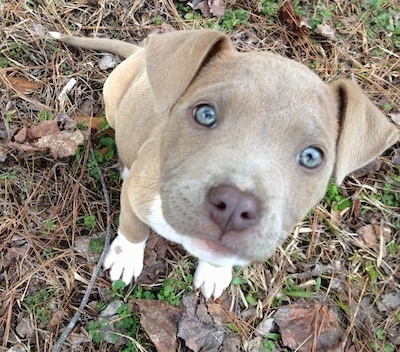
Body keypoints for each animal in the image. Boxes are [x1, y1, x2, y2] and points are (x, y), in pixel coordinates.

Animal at [50, 30, 400, 298]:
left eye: (311, 156)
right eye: (205, 114)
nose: (235, 205)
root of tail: (140, 54)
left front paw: (215, 272)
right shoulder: (138, 194)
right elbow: (134, 226)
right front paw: (126, 258)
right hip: (113, 103)